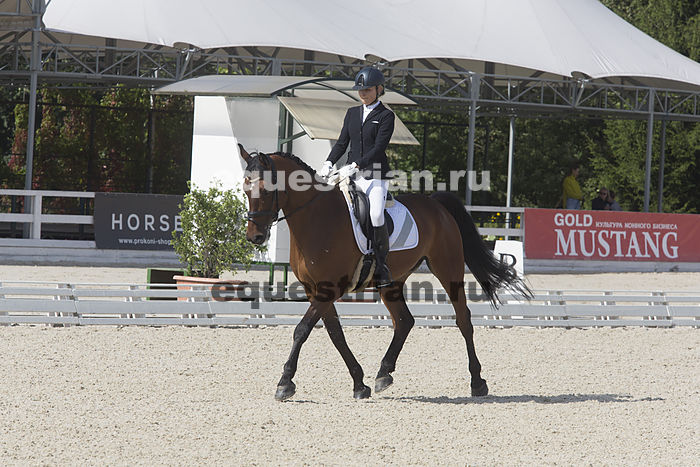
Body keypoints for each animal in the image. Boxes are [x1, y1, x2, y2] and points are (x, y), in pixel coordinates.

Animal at [239, 144, 531, 400]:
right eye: (245, 188)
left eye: (264, 189)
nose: (255, 237)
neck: (316, 218)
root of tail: (436, 204)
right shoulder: (316, 290)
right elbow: (335, 334)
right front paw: (360, 384)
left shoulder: (328, 289)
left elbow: (301, 330)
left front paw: (284, 383)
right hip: (391, 283)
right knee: (404, 321)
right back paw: (383, 374)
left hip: (448, 268)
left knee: (463, 320)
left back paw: (477, 382)